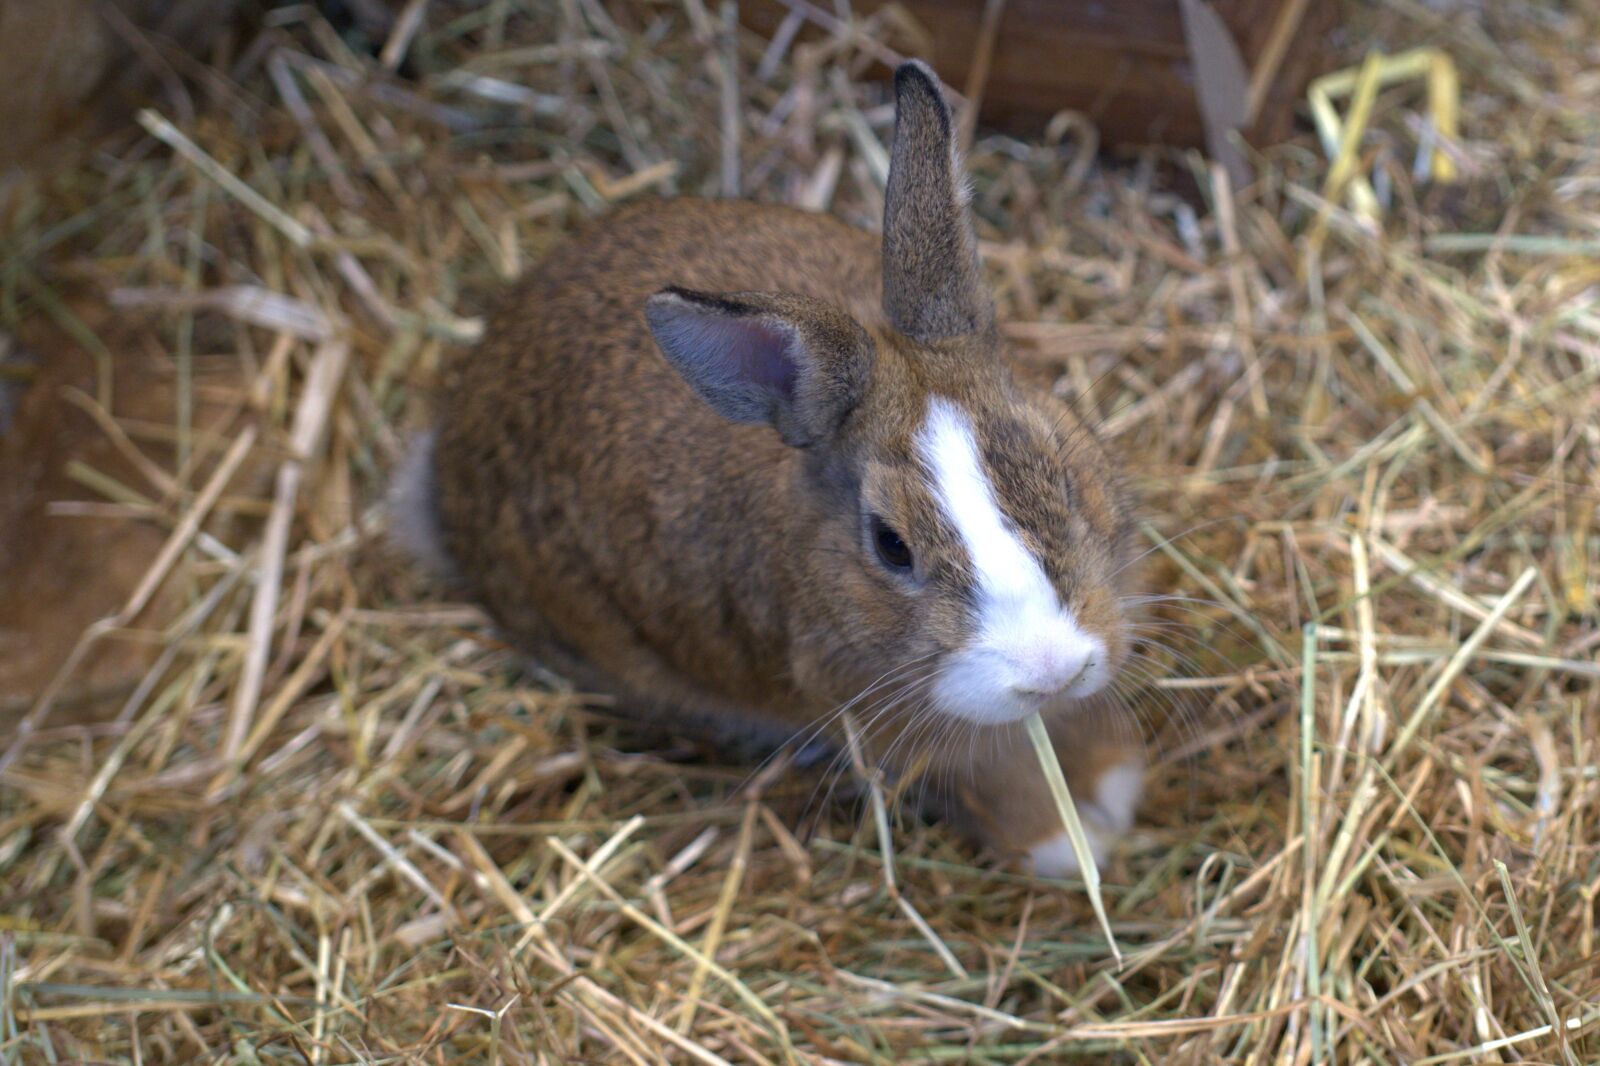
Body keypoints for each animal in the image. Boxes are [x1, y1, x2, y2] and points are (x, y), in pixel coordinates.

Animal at [400, 60, 1152, 870]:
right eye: (890, 546)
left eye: (1060, 473)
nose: (1050, 669)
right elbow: (999, 773)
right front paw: (1067, 843)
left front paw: (1113, 782)